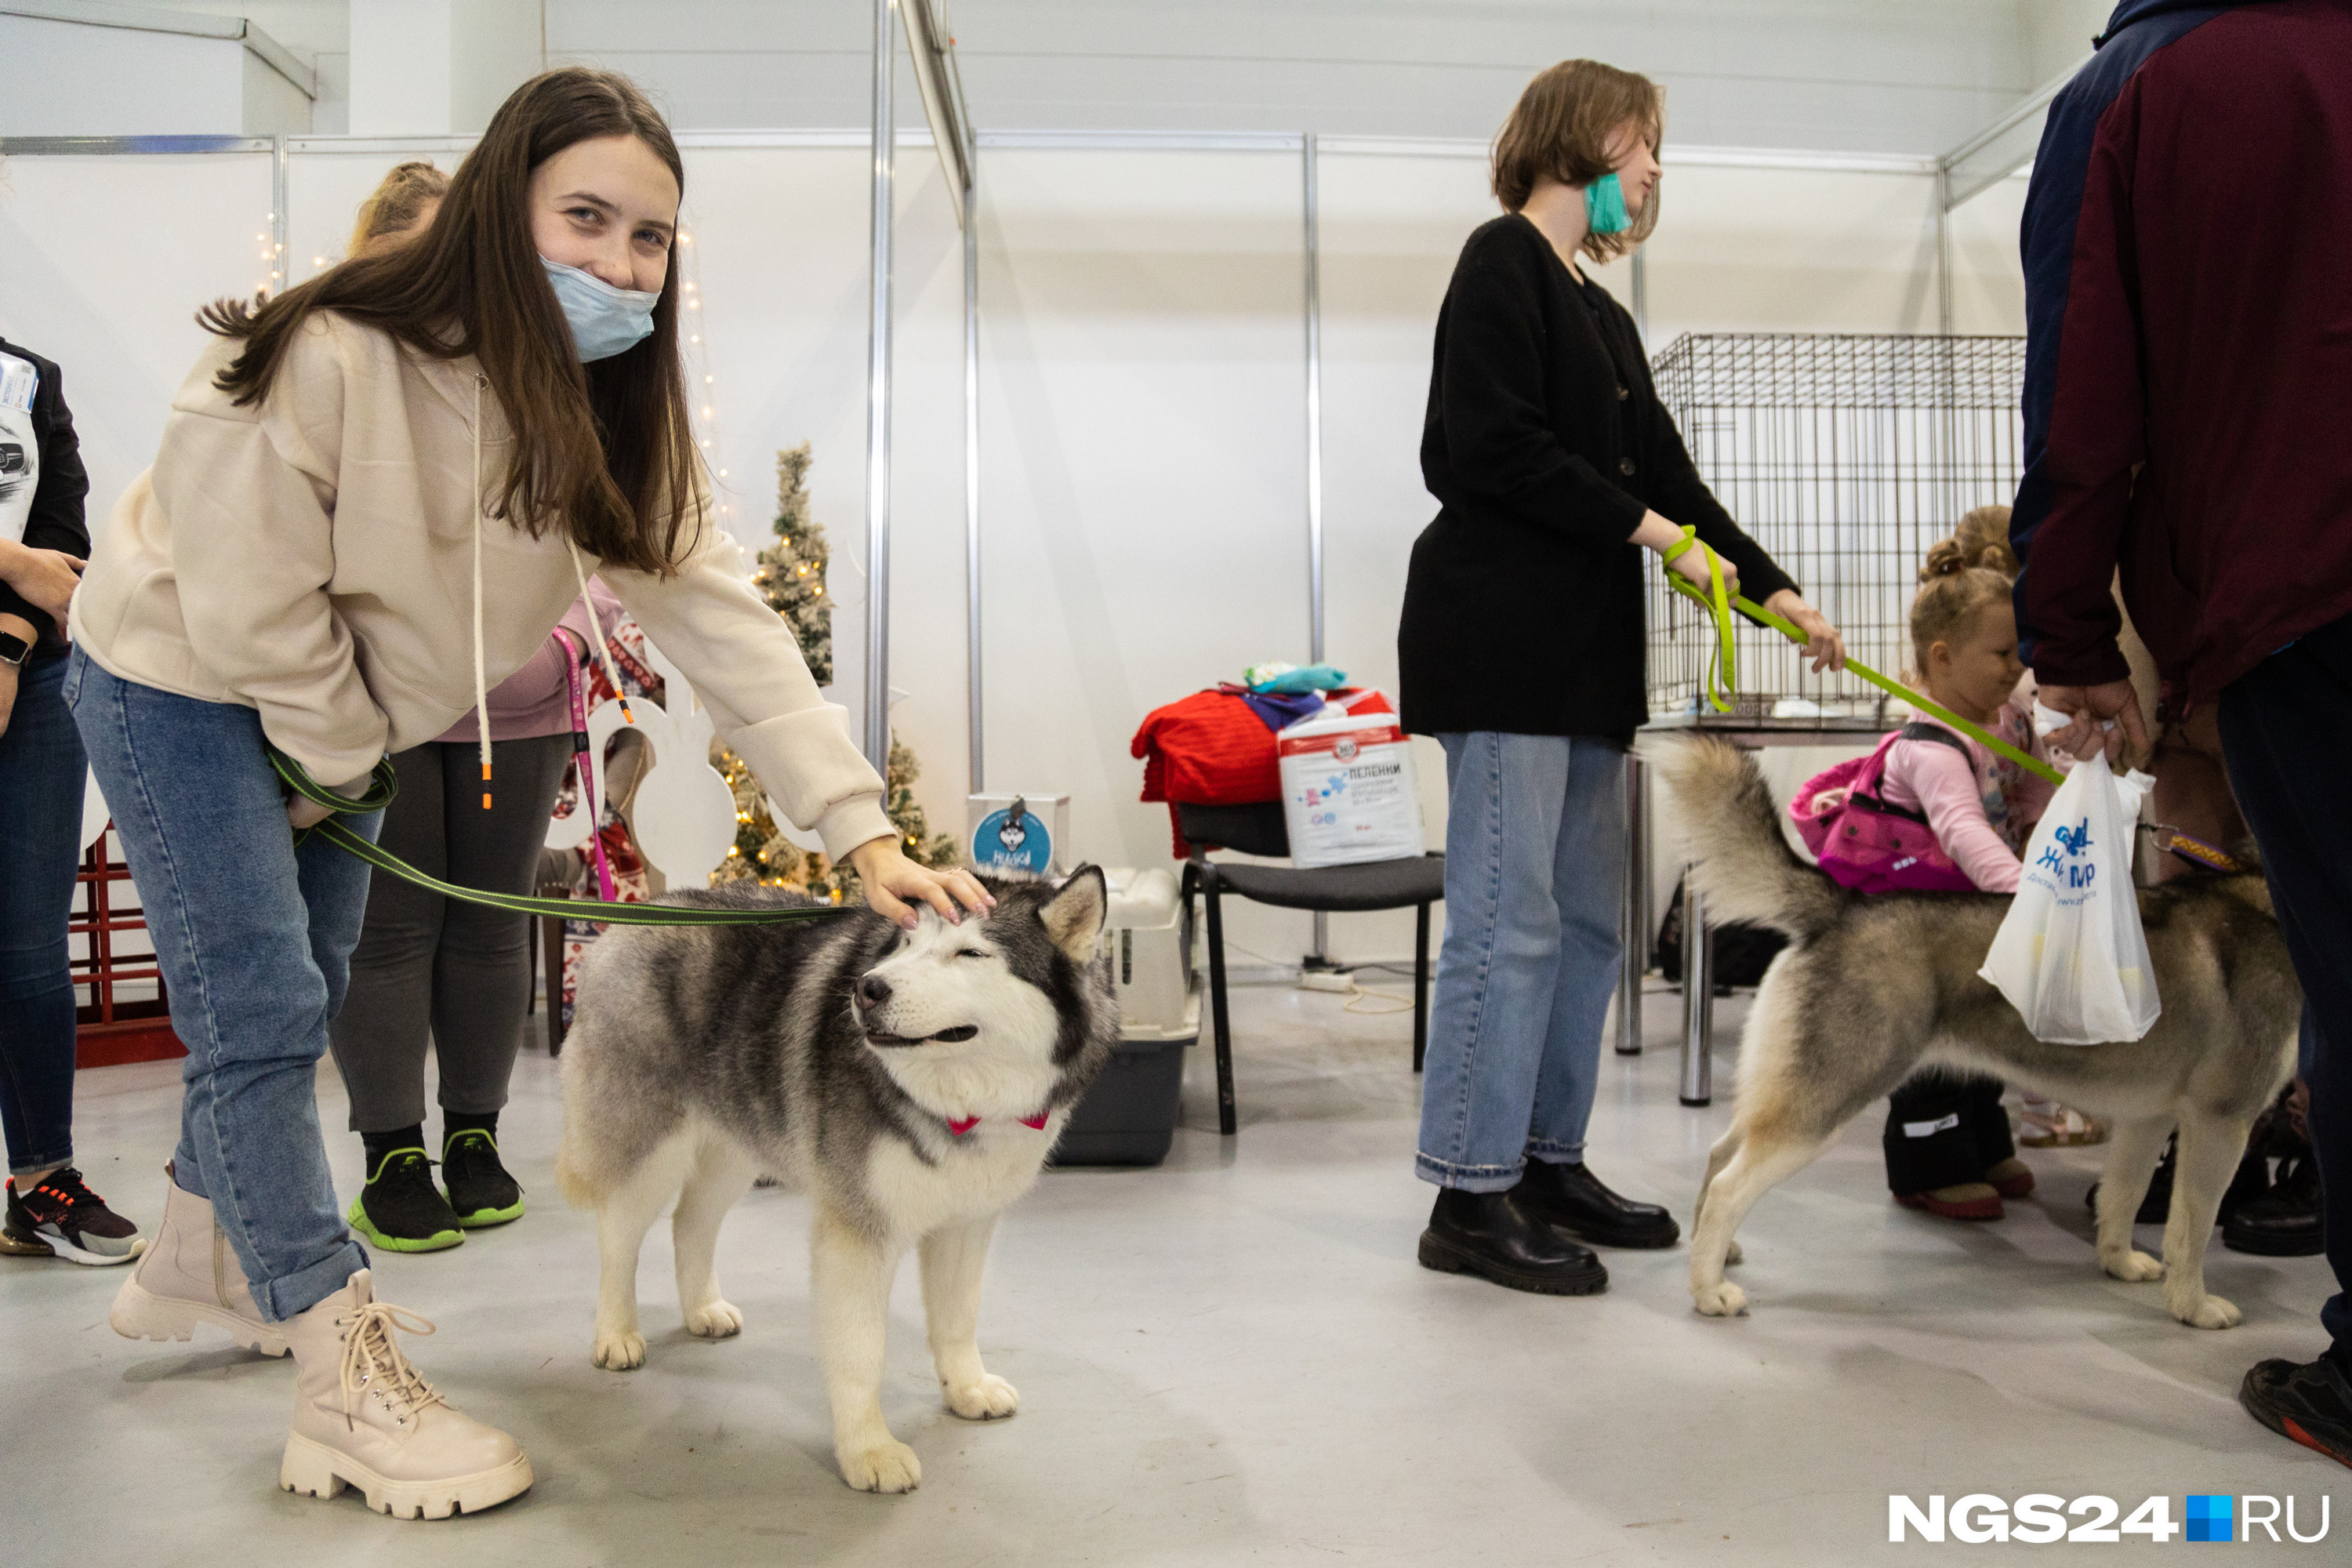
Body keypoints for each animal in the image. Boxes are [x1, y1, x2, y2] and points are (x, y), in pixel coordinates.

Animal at [567, 869, 1120, 1495]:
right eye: (907, 943)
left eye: (971, 953)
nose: (868, 988)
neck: (960, 1104)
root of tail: (646, 909)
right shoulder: (858, 1233)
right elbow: (861, 1352)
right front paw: (869, 1450)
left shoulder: (966, 1222)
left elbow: (958, 1318)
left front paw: (967, 1388)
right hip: (648, 1147)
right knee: (619, 1238)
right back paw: (615, 1333)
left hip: (737, 1143)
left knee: (691, 1223)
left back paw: (703, 1308)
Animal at [1646, 738, 2286, 1335]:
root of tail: (1846, 907)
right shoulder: (2221, 1121)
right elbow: (2192, 1229)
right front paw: (2193, 1305)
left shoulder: (2148, 1117)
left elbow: (2122, 1196)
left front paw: (2120, 1262)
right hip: (1827, 1103)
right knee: (1730, 1184)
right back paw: (1708, 1291)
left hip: (1792, 1085)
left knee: (1720, 1153)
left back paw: (1716, 1252)